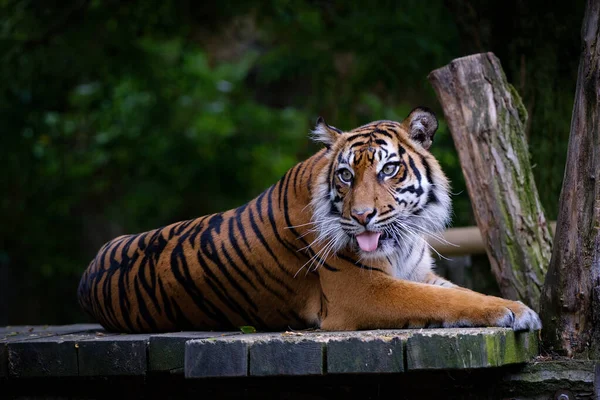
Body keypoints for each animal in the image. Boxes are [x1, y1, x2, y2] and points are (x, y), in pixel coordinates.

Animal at [77, 108, 540, 332]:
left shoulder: (418, 274)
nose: (362, 216)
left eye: (388, 169)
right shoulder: (360, 291)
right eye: (346, 175)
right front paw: (517, 311)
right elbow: (445, 301)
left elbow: (461, 293)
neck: (401, 237)